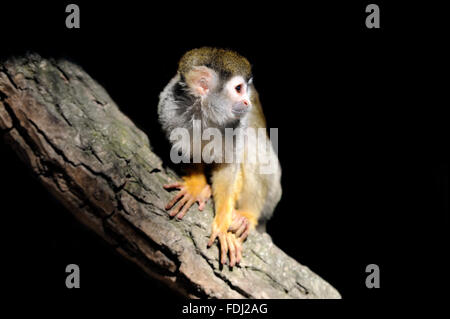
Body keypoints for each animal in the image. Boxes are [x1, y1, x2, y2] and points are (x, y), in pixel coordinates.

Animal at [156, 47, 280, 268]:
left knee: (253, 143)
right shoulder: (169, 109)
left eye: (245, 89)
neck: (204, 114)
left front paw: (223, 222)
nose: (247, 101)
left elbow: (229, 168)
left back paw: (248, 215)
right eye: (239, 88)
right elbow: (182, 151)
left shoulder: (235, 126)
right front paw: (196, 187)